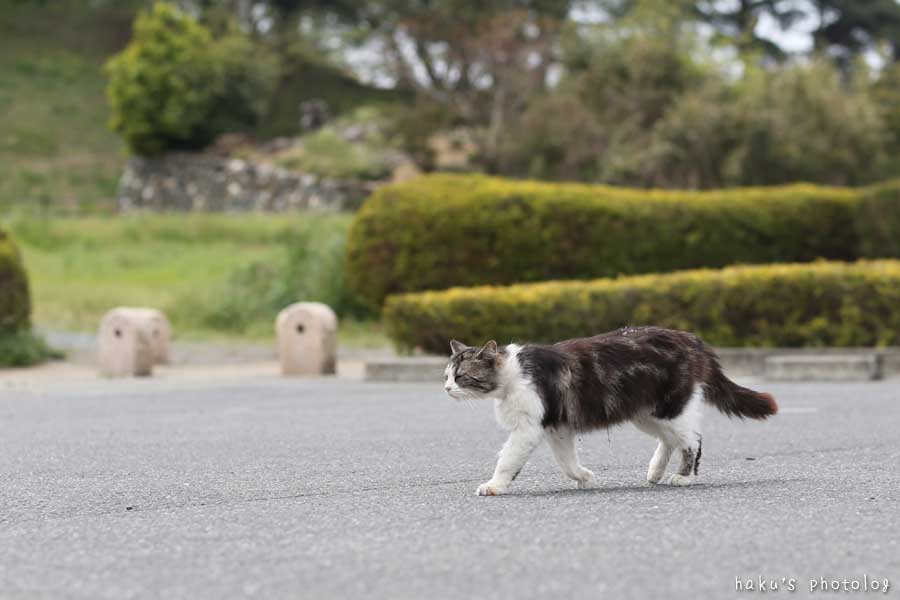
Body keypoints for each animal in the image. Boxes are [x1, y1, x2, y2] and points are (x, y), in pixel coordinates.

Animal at [443, 327, 777, 496]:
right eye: (446, 375)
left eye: (460, 376)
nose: (446, 389)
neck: (513, 374)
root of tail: (691, 338)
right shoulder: (557, 428)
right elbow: (566, 461)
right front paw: (584, 476)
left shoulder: (529, 427)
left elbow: (508, 460)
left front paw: (494, 486)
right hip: (646, 413)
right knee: (670, 440)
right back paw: (655, 471)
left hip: (670, 408)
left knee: (692, 441)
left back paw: (683, 477)